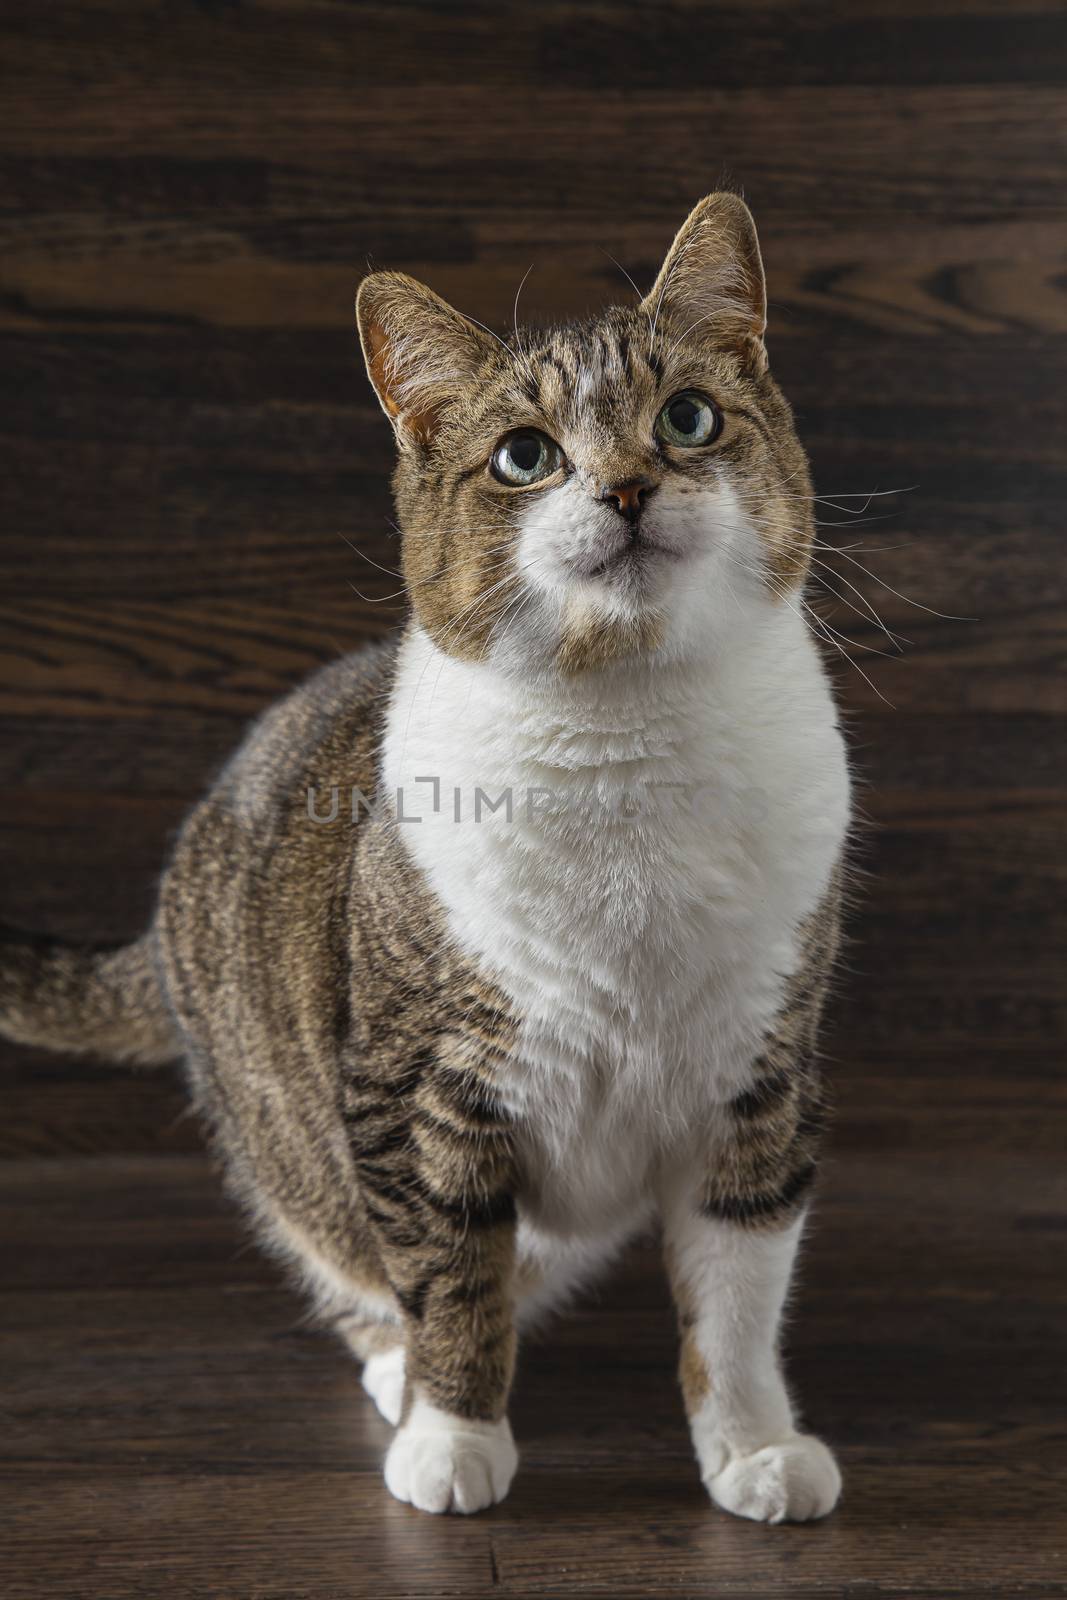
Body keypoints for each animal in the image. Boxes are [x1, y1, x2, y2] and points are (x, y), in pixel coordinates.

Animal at [0, 196, 851, 1523]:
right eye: (523, 456)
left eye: (686, 419)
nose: (625, 487)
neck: (630, 733)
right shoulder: (415, 1087)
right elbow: (448, 1270)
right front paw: (453, 1437)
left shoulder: (757, 1075)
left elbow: (738, 1293)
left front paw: (754, 1447)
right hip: (288, 1133)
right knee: (361, 1256)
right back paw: (396, 1374)